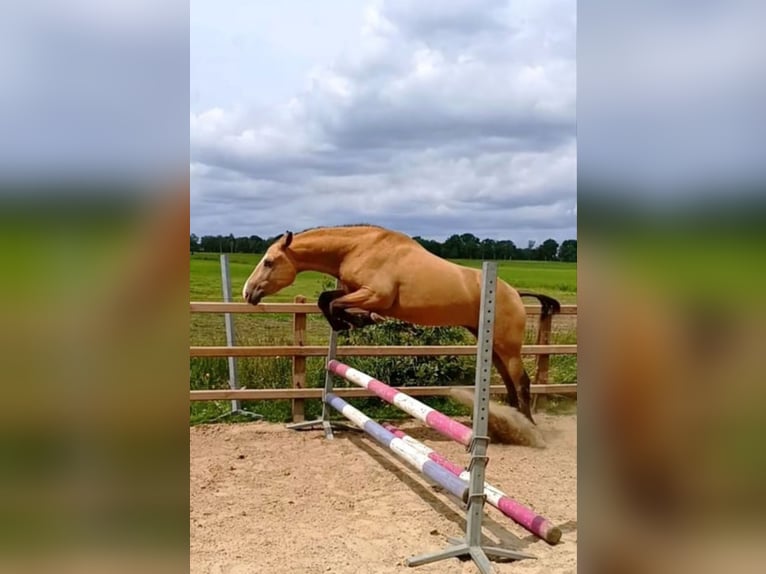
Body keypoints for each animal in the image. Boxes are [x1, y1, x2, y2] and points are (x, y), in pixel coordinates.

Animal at [242, 225, 560, 425]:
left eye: (269, 262)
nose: (247, 293)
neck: (357, 248)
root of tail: (515, 293)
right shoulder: (353, 291)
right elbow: (326, 300)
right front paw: (357, 320)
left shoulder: (375, 295)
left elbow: (333, 305)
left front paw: (357, 321)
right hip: (493, 347)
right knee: (509, 383)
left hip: (508, 348)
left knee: (521, 383)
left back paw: (529, 427)